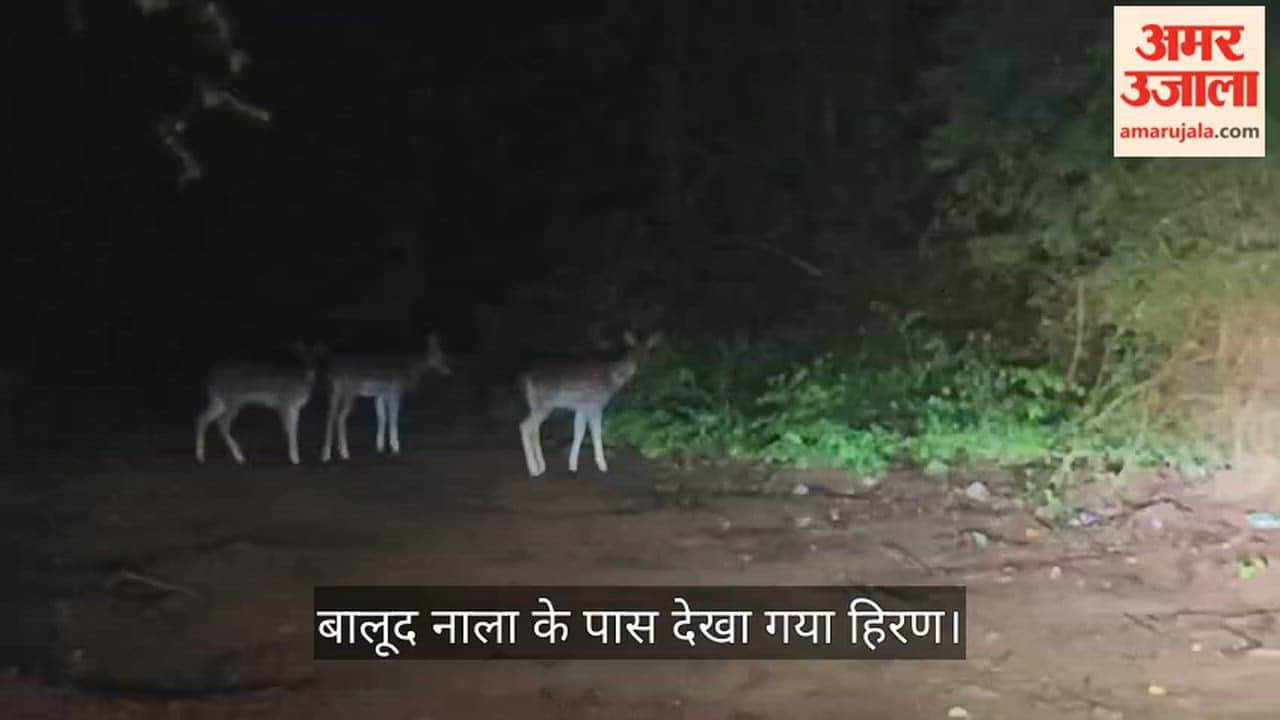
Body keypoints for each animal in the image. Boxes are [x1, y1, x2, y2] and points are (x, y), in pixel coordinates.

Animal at [195, 342, 327, 465]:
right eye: (303, 355)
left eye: (316, 356)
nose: (311, 367)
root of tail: (210, 379)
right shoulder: (285, 403)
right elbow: (290, 429)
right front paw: (294, 458)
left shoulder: (295, 407)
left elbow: (295, 427)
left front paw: (295, 457)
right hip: (232, 401)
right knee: (222, 423)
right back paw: (240, 457)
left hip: (218, 401)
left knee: (202, 419)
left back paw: (200, 457)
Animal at [321, 332, 452, 462]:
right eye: (440, 356)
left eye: (444, 356)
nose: (449, 371)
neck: (407, 374)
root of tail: (333, 372)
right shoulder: (394, 393)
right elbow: (393, 419)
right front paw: (395, 448)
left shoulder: (380, 395)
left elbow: (382, 418)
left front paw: (380, 447)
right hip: (350, 392)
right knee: (340, 417)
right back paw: (344, 453)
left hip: (335, 393)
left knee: (330, 415)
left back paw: (326, 454)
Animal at [518, 330, 662, 478]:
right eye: (633, 350)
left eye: (648, 351)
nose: (641, 366)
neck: (612, 379)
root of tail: (526, 378)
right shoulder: (595, 404)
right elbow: (596, 432)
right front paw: (602, 465)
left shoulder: (582, 406)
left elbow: (579, 432)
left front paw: (573, 465)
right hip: (545, 402)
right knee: (525, 426)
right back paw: (533, 469)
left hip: (535, 403)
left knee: (534, 429)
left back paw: (541, 466)